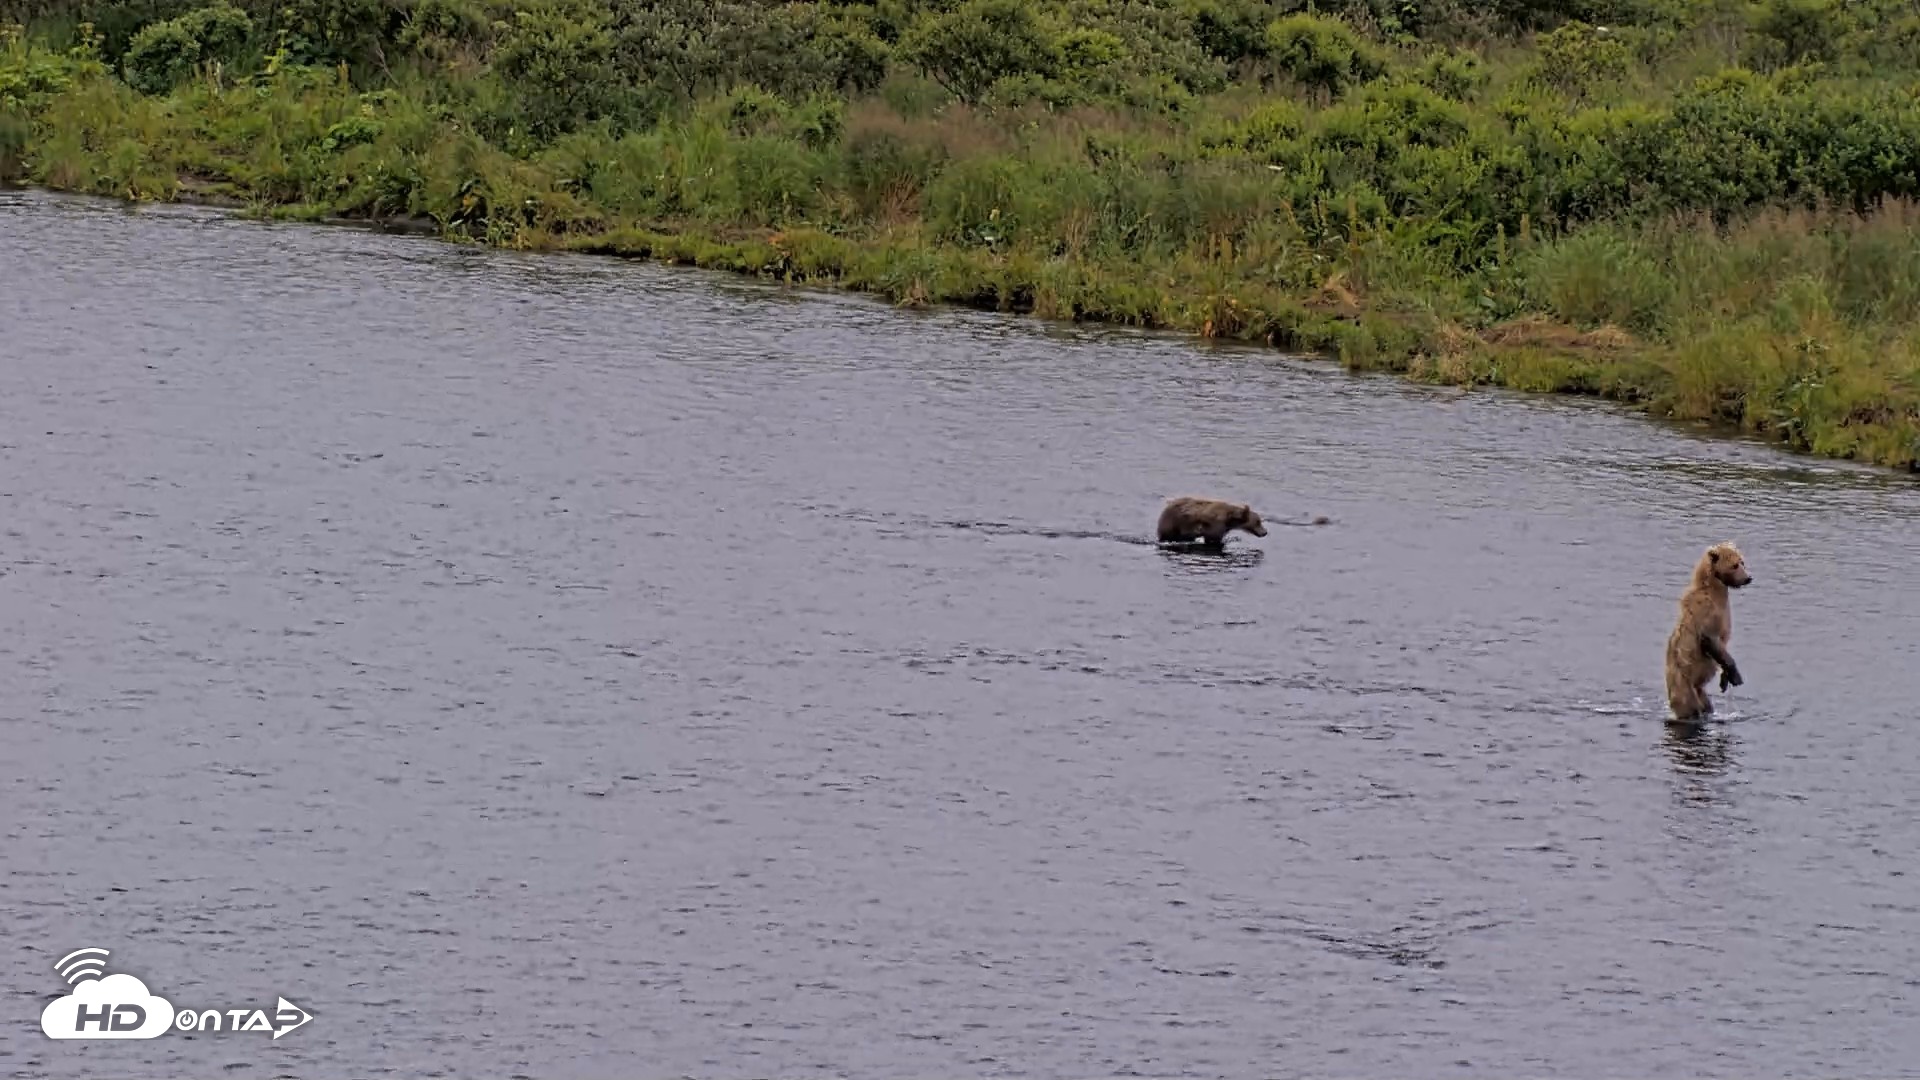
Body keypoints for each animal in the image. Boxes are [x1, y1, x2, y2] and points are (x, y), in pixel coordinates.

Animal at [1664, 541, 1752, 722]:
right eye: (1734, 565)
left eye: (1742, 562)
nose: (1748, 578)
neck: (1715, 589)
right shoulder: (1706, 614)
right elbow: (1711, 639)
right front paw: (1736, 676)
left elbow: (1722, 650)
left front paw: (1724, 680)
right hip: (1683, 684)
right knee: (1689, 707)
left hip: (1699, 690)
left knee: (1706, 704)